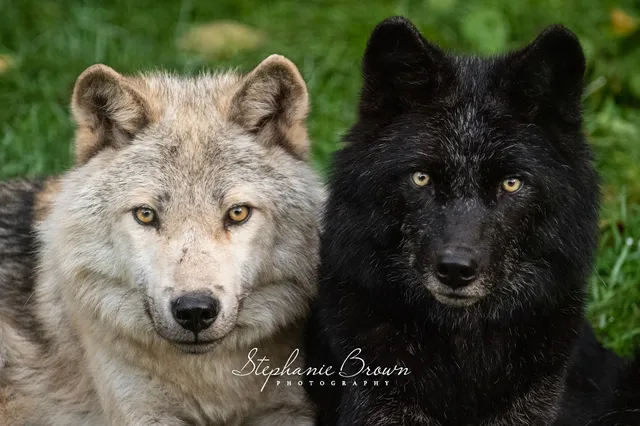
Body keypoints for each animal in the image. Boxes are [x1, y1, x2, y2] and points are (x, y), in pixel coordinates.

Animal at [0, 54, 323, 425]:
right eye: (145, 214)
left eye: (238, 213)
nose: (195, 310)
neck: (210, 383)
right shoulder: (140, 410)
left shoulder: (290, 407)